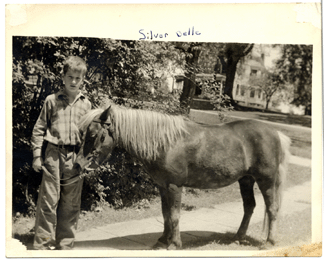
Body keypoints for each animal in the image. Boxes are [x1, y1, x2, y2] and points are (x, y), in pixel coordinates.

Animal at [73, 104, 292, 250]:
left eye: (93, 134)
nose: (78, 164)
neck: (165, 143)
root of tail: (275, 133)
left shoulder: (174, 186)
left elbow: (175, 215)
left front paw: (174, 243)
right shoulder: (162, 186)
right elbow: (165, 214)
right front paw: (163, 240)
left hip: (266, 180)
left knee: (272, 208)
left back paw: (269, 242)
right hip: (245, 179)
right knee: (249, 206)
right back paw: (238, 237)